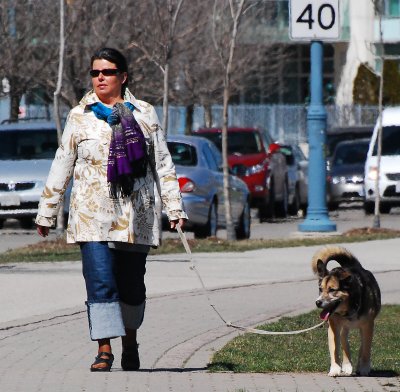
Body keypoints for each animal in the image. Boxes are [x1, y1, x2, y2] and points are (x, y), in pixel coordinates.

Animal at [310, 245, 380, 376]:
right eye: (320, 289)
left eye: (332, 290)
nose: (317, 302)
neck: (349, 309)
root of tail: (353, 265)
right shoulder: (333, 326)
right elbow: (335, 348)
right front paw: (335, 369)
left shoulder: (368, 326)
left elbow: (366, 348)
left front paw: (364, 367)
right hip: (344, 328)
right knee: (344, 342)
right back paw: (347, 365)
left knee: (362, 346)